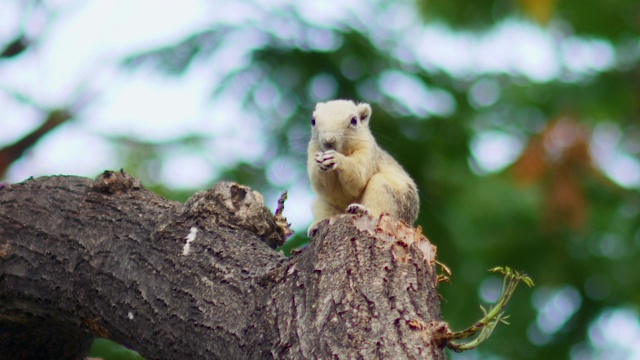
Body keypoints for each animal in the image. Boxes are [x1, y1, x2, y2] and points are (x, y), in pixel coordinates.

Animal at [306, 100, 420, 238]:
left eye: (354, 120)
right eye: (313, 120)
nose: (328, 140)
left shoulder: (368, 150)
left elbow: (358, 179)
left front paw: (337, 159)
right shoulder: (312, 150)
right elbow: (327, 189)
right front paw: (320, 162)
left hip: (394, 196)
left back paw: (362, 209)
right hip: (322, 203)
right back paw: (316, 225)